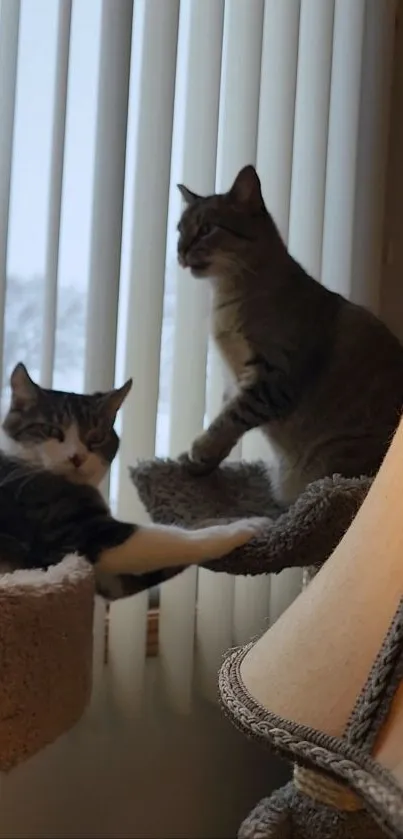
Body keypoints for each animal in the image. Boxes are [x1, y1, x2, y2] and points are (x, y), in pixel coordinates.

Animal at [0, 364, 262, 600]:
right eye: (51, 430)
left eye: (96, 437)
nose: (77, 457)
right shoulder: (76, 531)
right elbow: (168, 539)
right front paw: (244, 526)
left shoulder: (107, 580)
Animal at [178, 164, 403, 506]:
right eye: (179, 229)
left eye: (206, 229)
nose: (179, 251)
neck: (226, 296)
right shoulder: (236, 379)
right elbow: (224, 421)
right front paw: (198, 465)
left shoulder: (272, 377)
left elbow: (229, 419)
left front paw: (201, 450)